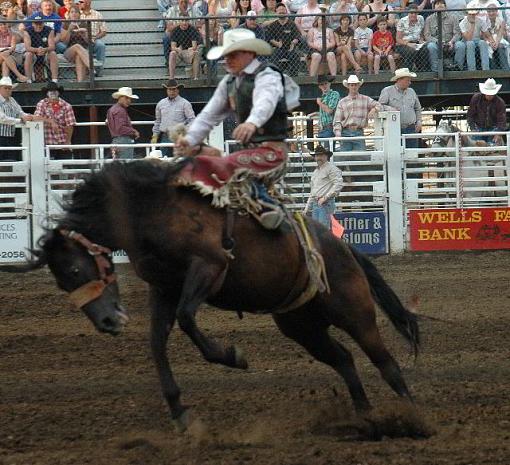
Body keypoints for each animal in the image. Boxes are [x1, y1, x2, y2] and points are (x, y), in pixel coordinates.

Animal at [0, 151, 420, 432]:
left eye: (74, 268)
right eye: (61, 281)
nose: (106, 322)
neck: (148, 211)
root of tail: (343, 248)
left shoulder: (209, 265)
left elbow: (187, 319)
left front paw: (233, 357)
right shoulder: (164, 288)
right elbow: (157, 343)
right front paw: (180, 411)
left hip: (354, 311)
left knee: (385, 362)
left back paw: (413, 416)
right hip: (300, 325)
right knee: (345, 359)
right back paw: (365, 417)